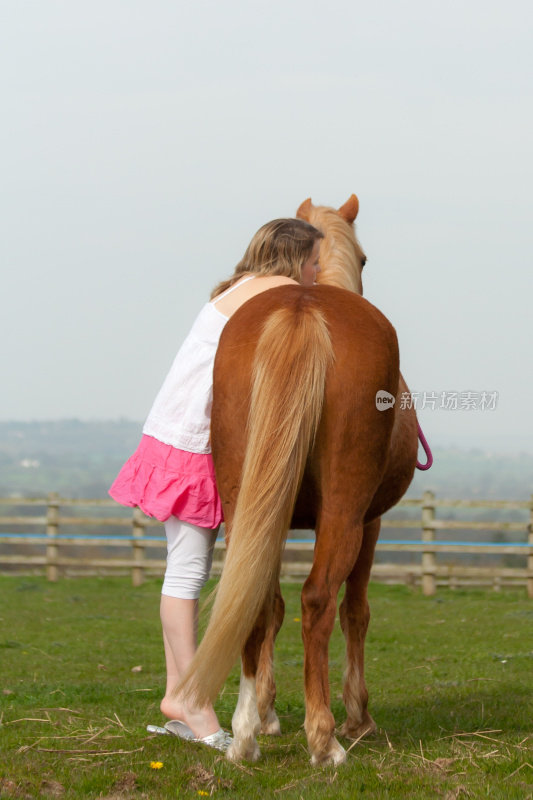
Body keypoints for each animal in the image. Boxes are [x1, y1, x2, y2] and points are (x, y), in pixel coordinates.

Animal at [177, 194, 418, 764]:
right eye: (367, 258)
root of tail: (303, 309)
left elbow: (271, 606)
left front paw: (266, 713)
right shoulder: (372, 522)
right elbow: (356, 611)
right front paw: (359, 716)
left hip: (247, 504)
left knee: (257, 601)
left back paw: (244, 732)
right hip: (345, 514)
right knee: (319, 600)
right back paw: (325, 738)